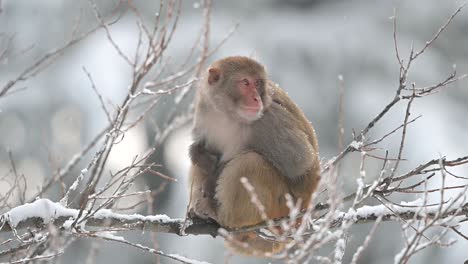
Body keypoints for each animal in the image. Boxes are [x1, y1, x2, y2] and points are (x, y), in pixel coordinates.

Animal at [188, 55, 320, 254]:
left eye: (257, 83)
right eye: (245, 82)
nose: (257, 98)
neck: (227, 115)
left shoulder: (269, 120)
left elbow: (302, 165)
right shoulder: (204, 109)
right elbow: (201, 152)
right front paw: (201, 156)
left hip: (280, 206)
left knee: (250, 162)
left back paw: (222, 216)